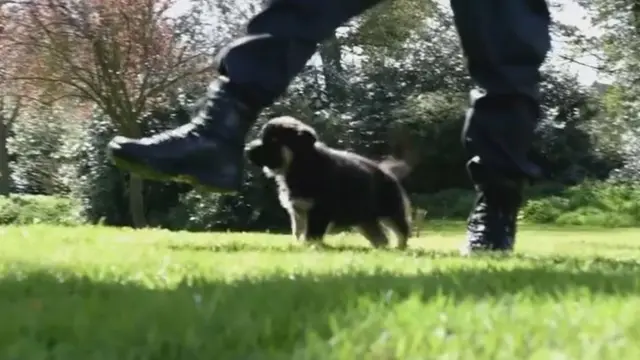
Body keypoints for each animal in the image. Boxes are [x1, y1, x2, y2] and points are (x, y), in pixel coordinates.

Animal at [245, 116, 416, 250]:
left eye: (273, 141)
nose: (247, 150)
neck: (300, 165)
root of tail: (388, 173)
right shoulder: (298, 210)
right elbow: (298, 231)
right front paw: (298, 245)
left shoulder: (319, 211)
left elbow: (312, 234)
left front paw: (310, 247)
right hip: (364, 218)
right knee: (380, 238)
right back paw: (379, 250)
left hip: (390, 211)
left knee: (401, 230)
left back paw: (400, 247)